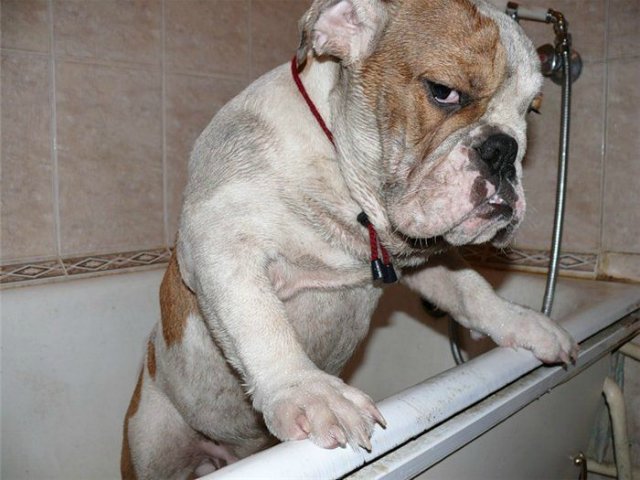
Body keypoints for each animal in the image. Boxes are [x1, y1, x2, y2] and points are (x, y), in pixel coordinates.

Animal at [121, 0, 578, 477]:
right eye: (443, 92)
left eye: (531, 112)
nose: (505, 149)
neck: (340, 175)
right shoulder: (221, 241)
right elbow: (259, 321)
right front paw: (308, 390)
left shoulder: (423, 256)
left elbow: (472, 290)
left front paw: (524, 323)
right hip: (155, 442)